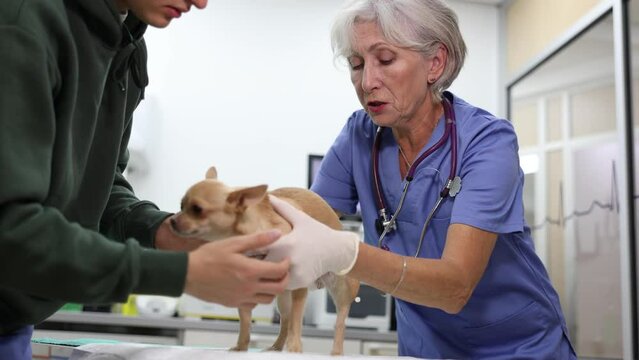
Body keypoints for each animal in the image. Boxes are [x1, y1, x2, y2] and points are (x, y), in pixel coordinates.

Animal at [170, 166, 360, 354]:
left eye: (197, 209)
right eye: (181, 206)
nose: (172, 220)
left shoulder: (300, 286)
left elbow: (297, 322)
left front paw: (295, 348)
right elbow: (245, 321)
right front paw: (241, 347)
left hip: (341, 286)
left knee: (340, 320)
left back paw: (336, 351)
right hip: (283, 298)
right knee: (285, 320)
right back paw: (276, 346)